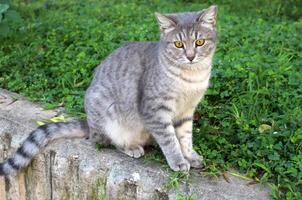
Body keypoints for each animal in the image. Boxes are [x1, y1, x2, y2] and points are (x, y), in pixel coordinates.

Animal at [0, 4, 217, 175]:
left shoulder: (186, 112)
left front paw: (190, 156)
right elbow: (170, 140)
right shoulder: (155, 111)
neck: (191, 77)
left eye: (199, 42)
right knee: (105, 141)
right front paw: (178, 161)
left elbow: (185, 137)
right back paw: (131, 147)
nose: (190, 56)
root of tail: (88, 123)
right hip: (109, 117)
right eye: (178, 44)